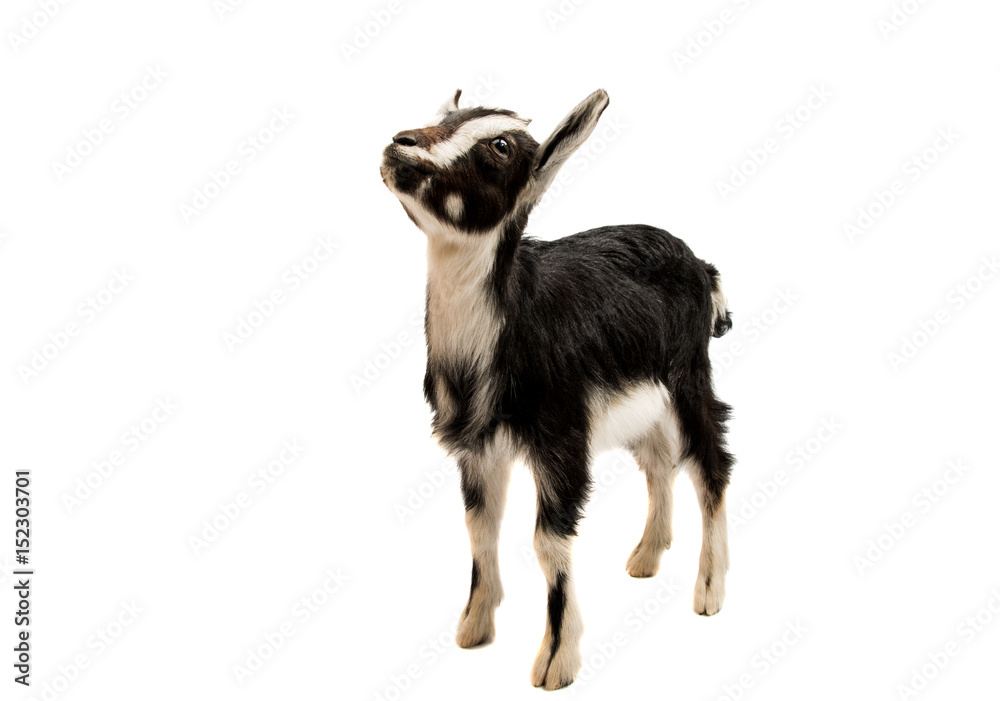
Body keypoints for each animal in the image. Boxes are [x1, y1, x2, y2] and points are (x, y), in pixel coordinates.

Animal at [379, 88, 734, 690]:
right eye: (446, 114)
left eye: (500, 146)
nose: (399, 145)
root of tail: (702, 266)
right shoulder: (475, 446)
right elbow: (479, 528)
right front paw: (474, 626)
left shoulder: (561, 438)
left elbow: (548, 542)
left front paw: (555, 661)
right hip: (642, 404)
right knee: (659, 461)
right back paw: (646, 556)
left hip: (689, 377)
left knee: (711, 464)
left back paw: (708, 590)